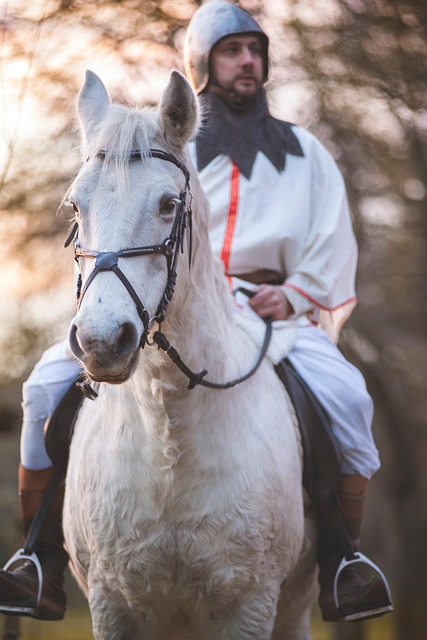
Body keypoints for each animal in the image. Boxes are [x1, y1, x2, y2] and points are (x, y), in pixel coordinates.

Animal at [62, 69, 318, 640]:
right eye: (76, 206)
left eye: (168, 205)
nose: (102, 342)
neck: (169, 434)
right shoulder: (110, 604)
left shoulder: (250, 605)